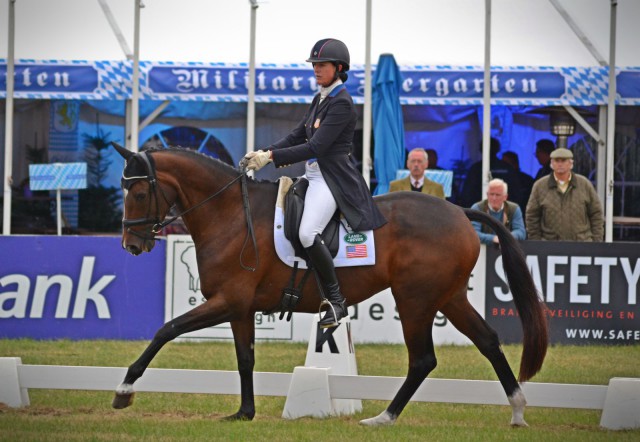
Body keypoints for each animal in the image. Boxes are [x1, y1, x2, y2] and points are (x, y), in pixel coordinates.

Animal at [112, 143, 548, 426]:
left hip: (416, 300)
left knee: (423, 359)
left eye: (138, 192)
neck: (231, 215)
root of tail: (459, 211)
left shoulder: (227, 301)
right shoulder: (240, 308)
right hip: (450, 297)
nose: (131, 244)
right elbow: (244, 358)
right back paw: (517, 410)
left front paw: (124, 390)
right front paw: (244, 414)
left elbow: (166, 330)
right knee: (487, 341)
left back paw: (384, 418)